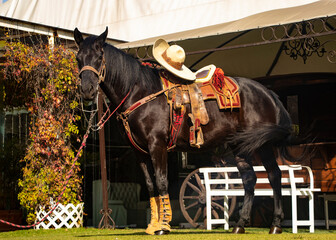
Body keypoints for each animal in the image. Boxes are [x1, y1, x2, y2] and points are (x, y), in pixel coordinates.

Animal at [75, 27, 296, 234]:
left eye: (99, 57)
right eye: (78, 58)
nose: (86, 90)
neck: (140, 92)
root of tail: (267, 92)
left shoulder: (157, 145)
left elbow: (161, 182)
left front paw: (163, 226)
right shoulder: (139, 151)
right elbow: (150, 185)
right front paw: (152, 226)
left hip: (263, 145)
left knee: (274, 175)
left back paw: (276, 225)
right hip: (241, 146)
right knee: (249, 179)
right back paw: (240, 225)